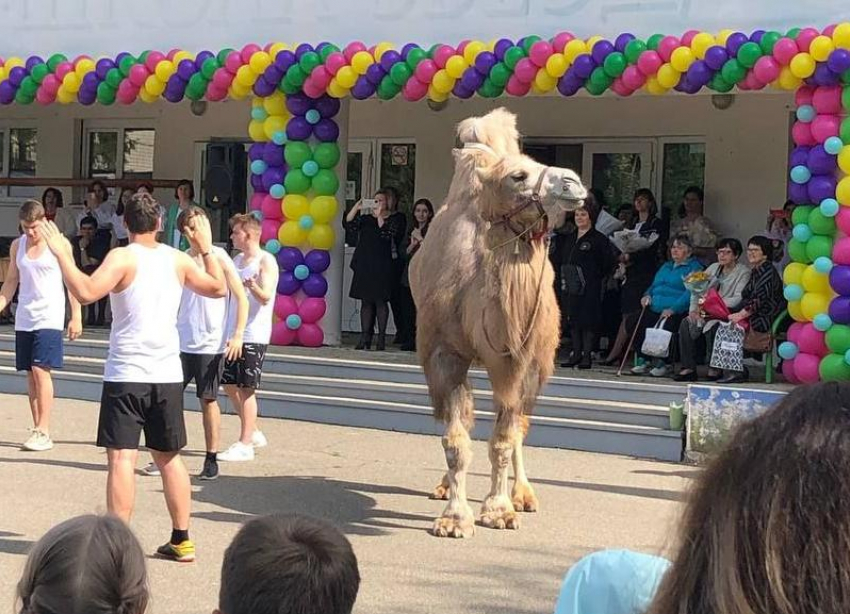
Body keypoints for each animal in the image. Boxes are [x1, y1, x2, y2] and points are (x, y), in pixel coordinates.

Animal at [410, 107, 584, 540]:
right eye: (517, 176)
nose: (574, 183)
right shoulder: (446, 355)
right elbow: (455, 440)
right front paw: (455, 518)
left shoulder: (516, 358)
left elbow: (505, 439)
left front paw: (499, 509)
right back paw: (444, 487)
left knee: (520, 425)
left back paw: (523, 494)